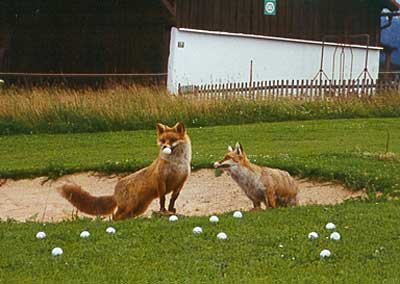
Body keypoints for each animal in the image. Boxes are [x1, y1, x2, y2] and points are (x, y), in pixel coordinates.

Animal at [57, 122, 192, 220]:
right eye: (162, 140)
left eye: (172, 140)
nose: (164, 147)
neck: (176, 164)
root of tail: (115, 192)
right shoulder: (160, 181)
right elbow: (162, 199)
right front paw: (163, 211)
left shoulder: (181, 183)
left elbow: (172, 199)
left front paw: (170, 210)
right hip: (130, 207)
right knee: (114, 216)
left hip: (137, 208)